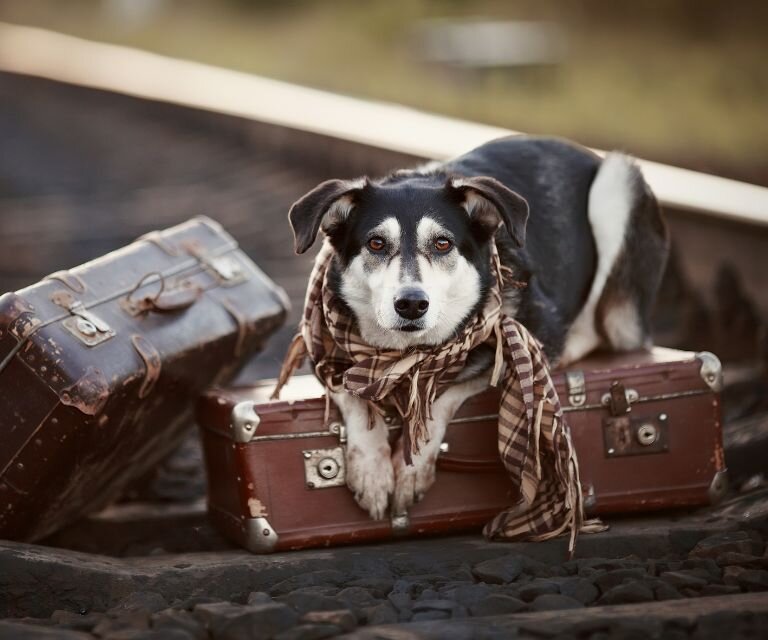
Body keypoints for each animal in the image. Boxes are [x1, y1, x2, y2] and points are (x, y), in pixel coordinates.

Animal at [286, 135, 664, 520]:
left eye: (443, 243)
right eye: (376, 243)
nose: (411, 304)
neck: (406, 360)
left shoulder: (531, 335)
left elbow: (449, 390)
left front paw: (411, 468)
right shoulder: (320, 351)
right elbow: (351, 391)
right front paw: (371, 469)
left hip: (618, 186)